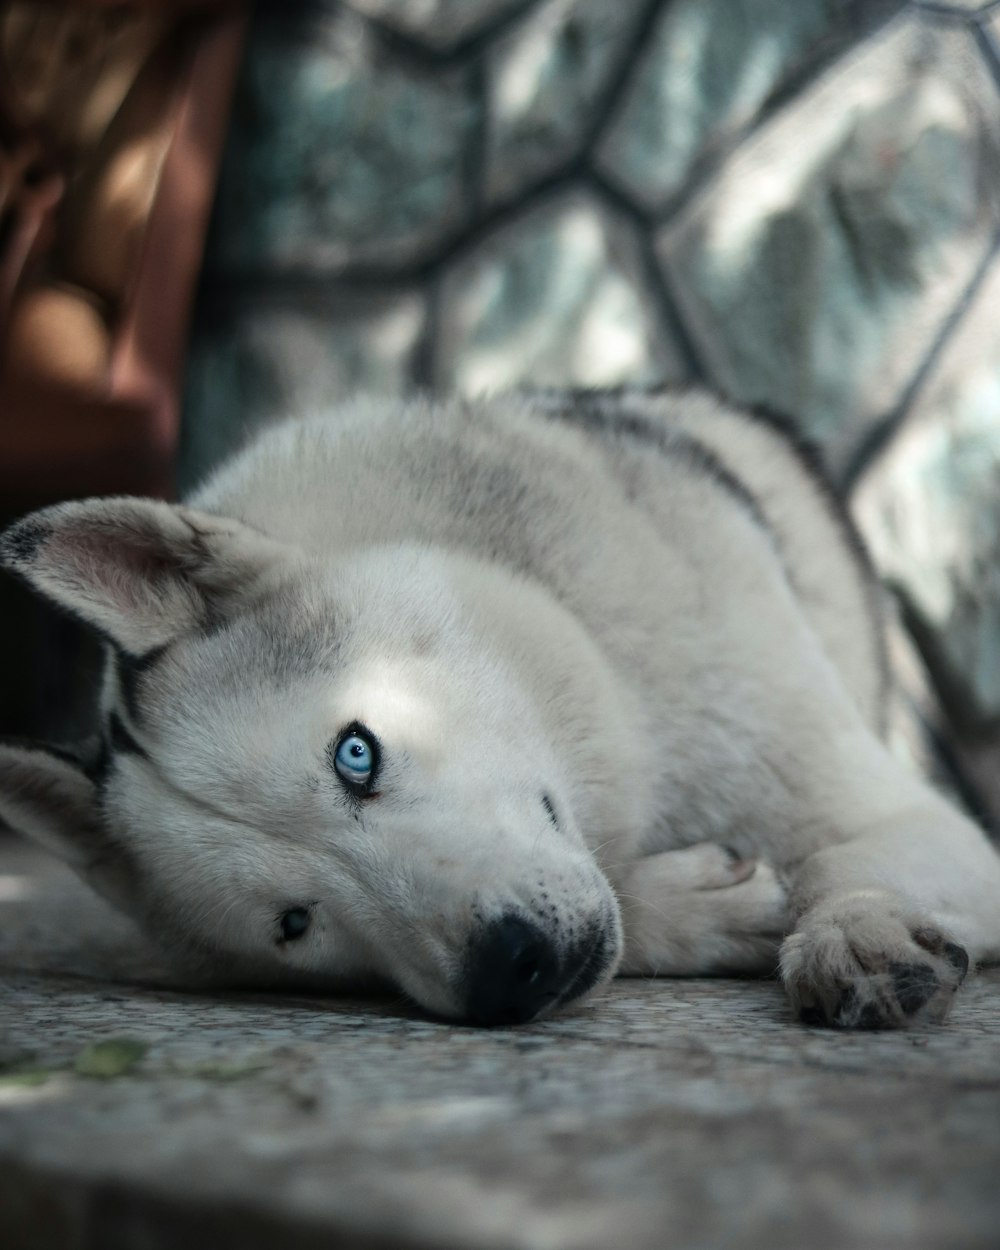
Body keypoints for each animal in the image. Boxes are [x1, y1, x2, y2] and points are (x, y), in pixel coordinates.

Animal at [1, 390, 1000, 1025]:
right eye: (295, 925)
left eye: (355, 754)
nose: (513, 971)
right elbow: (642, 907)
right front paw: (704, 906)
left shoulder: (902, 814)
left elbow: (836, 858)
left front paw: (854, 927)